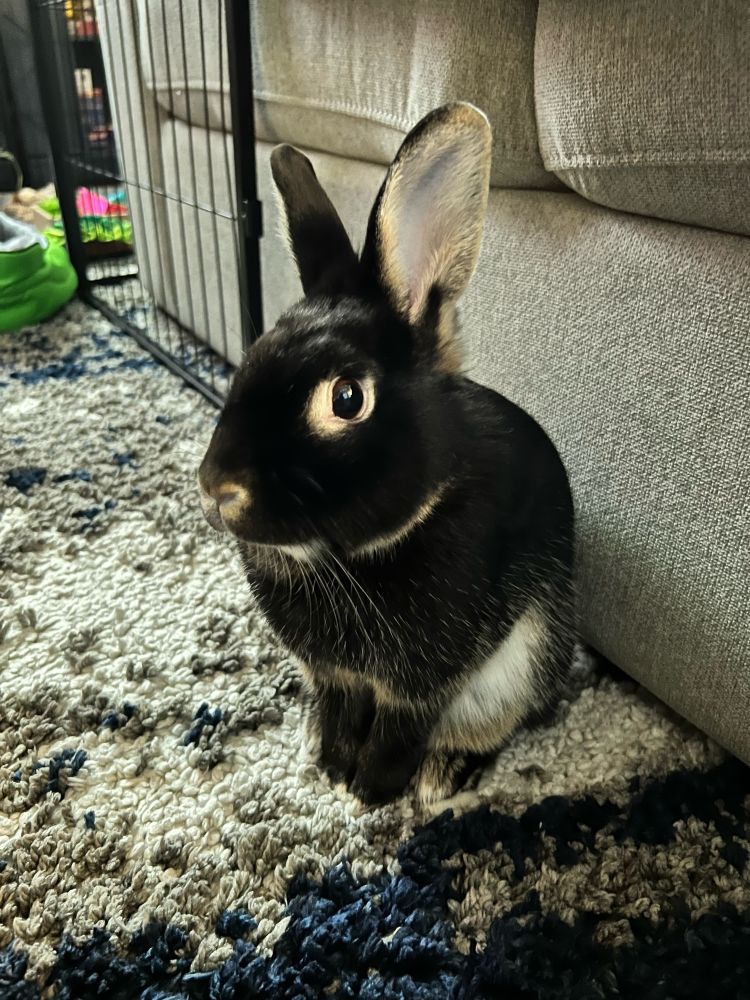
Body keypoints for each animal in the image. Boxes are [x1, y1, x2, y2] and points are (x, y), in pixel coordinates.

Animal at [198, 103, 575, 806]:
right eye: (250, 357)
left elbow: (401, 731)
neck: (342, 561)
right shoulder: (336, 678)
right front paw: (331, 768)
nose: (216, 489)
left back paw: (442, 776)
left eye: (347, 398)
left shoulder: (424, 684)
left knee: (493, 726)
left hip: (525, 665)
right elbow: (342, 712)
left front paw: (370, 793)